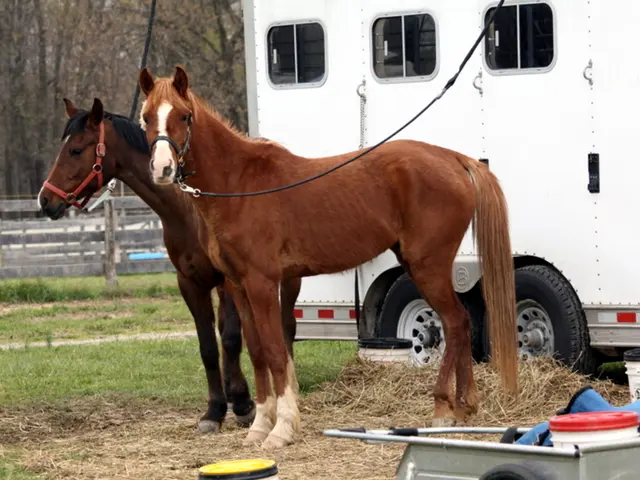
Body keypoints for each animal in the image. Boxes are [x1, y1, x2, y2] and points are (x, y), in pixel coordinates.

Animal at [37, 96, 303, 434]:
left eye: (76, 149)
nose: (45, 200)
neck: (189, 208)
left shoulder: (229, 281)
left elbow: (231, 338)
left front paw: (243, 403)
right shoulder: (189, 282)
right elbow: (208, 346)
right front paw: (215, 409)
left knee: (285, 327)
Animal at [137, 65, 519, 450]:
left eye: (184, 116)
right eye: (146, 118)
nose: (162, 169)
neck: (240, 186)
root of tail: (454, 159)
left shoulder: (263, 284)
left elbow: (275, 352)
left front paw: (282, 429)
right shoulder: (237, 286)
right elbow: (257, 353)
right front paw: (259, 426)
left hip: (429, 266)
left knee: (454, 322)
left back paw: (443, 409)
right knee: (461, 324)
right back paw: (464, 407)